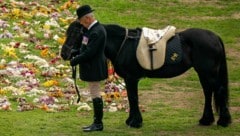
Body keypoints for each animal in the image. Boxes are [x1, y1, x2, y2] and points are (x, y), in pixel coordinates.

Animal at [61, 20, 232, 128]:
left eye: (75, 33)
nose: (64, 54)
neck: (123, 44)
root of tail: (215, 37)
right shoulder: (129, 79)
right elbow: (132, 99)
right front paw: (131, 120)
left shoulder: (131, 78)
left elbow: (133, 98)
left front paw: (135, 122)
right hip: (203, 73)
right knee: (208, 92)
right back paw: (206, 120)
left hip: (209, 73)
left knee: (219, 91)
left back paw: (223, 121)